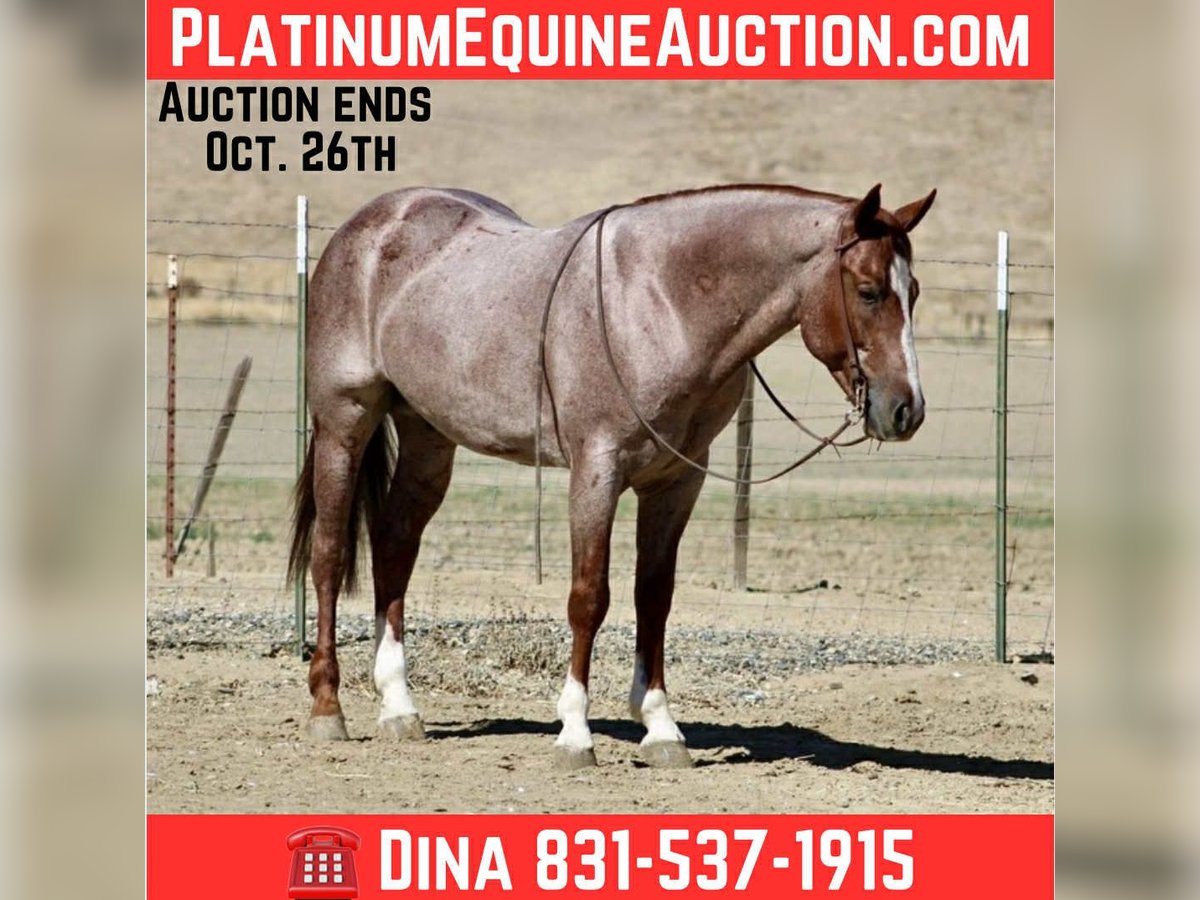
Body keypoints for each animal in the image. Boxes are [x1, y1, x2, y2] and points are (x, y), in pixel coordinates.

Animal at [288, 182, 936, 769]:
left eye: (914, 291)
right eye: (869, 291)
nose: (907, 411)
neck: (662, 300)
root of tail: (370, 225)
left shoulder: (676, 482)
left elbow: (654, 596)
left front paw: (661, 729)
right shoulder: (595, 471)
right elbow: (589, 598)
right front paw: (575, 734)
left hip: (427, 437)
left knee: (394, 547)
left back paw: (399, 707)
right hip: (345, 423)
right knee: (329, 556)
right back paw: (327, 709)